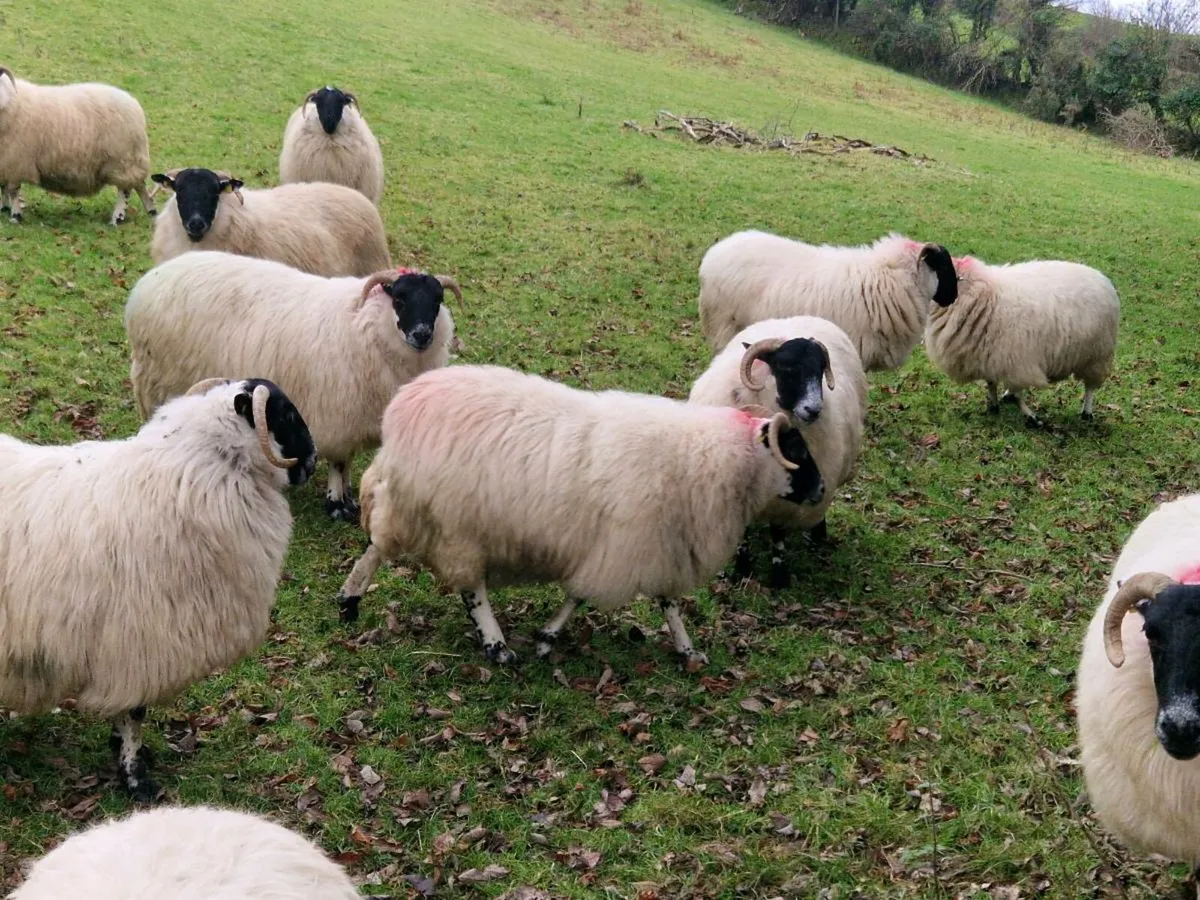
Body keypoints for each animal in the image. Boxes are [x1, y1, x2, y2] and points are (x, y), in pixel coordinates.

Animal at [0, 65, 156, 225]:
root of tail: (134, 104)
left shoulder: (15, 162)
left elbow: (13, 190)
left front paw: (15, 216)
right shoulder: (5, 161)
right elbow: (3, 187)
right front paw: (4, 208)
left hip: (122, 160)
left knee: (125, 190)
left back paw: (117, 218)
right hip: (131, 160)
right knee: (140, 185)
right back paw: (151, 210)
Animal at [125, 251, 461, 521]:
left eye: (438, 300)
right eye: (400, 299)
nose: (422, 335)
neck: (365, 325)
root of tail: (151, 280)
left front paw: (348, 499)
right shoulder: (339, 413)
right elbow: (339, 462)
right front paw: (337, 505)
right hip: (158, 379)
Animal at [335, 364, 825, 668]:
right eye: (797, 451)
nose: (821, 490)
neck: (711, 459)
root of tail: (402, 410)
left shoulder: (656, 545)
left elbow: (664, 602)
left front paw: (688, 651)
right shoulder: (629, 544)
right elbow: (586, 594)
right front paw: (547, 637)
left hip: (422, 511)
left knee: (379, 547)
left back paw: (349, 601)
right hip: (454, 523)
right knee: (466, 587)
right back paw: (495, 645)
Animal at [688, 316, 867, 588]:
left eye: (820, 370)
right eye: (786, 368)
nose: (814, 409)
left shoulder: (787, 502)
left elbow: (778, 537)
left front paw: (779, 578)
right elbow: (743, 537)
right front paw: (742, 569)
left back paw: (818, 534)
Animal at [924, 254, 1120, 426]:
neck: (983, 293)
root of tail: (1101, 277)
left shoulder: (1016, 361)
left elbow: (1018, 395)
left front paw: (1031, 417)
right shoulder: (989, 357)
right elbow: (991, 384)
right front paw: (993, 407)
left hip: (1096, 354)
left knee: (1090, 387)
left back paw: (1087, 412)